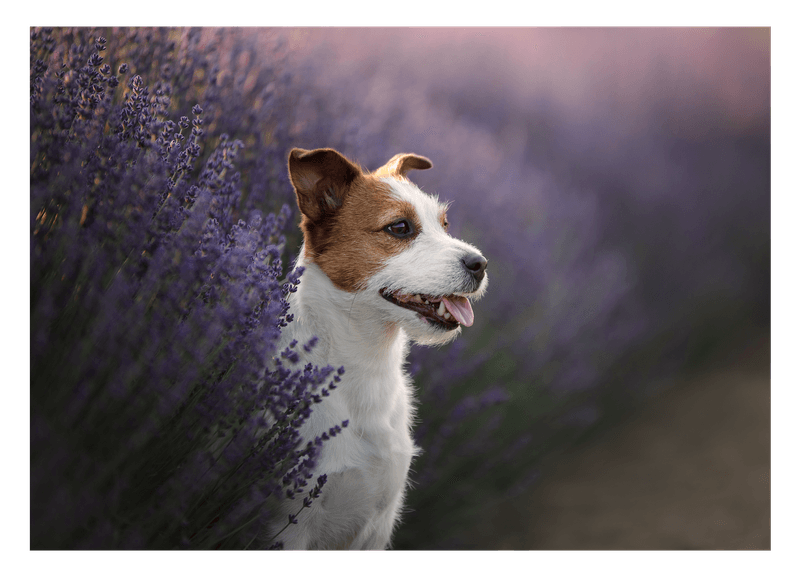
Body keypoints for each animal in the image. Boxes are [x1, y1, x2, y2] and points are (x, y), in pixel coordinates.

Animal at [270, 146, 488, 548]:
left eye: (444, 224)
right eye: (399, 227)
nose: (480, 263)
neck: (367, 365)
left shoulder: (379, 524)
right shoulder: (288, 527)